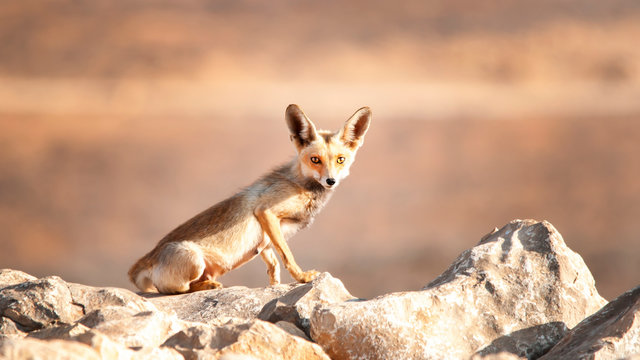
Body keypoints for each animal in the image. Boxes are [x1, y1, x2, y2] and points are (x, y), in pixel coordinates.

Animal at [126, 105, 370, 296]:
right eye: (315, 160)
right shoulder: (266, 212)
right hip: (193, 259)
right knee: (173, 289)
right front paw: (302, 277)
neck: (299, 185)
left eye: (340, 160)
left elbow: (273, 266)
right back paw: (209, 287)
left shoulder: (266, 238)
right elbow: (287, 257)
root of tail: (146, 258)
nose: (331, 181)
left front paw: (274, 287)